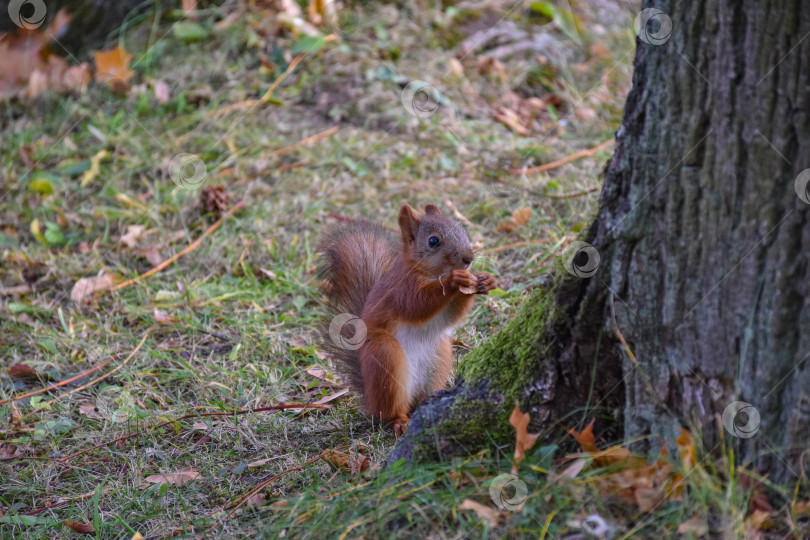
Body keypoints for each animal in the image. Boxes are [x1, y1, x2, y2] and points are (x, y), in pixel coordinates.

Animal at [318, 202, 496, 434]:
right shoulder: (402, 289)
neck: (429, 273)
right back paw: (400, 421)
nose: (468, 259)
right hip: (385, 356)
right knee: (390, 411)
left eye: (463, 231)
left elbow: (452, 316)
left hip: (440, 355)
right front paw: (452, 280)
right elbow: (416, 305)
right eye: (433, 241)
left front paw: (486, 280)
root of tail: (370, 401)